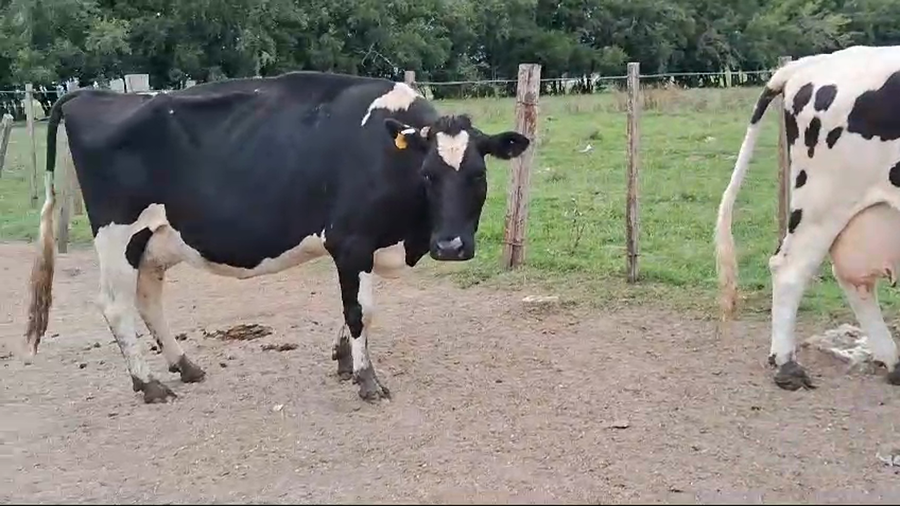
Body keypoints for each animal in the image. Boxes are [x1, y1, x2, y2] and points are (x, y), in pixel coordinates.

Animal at [21, 71, 530, 404]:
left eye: (479, 175)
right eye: (427, 175)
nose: (451, 247)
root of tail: (90, 94)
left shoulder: (359, 248)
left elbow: (353, 308)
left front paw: (343, 359)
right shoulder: (351, 241)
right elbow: (360, 309)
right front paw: (366, 378)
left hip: (152, 239)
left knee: (148, 298)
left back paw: (184, 366)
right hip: (117, 234)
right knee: (115, 306)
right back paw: (149, 384)